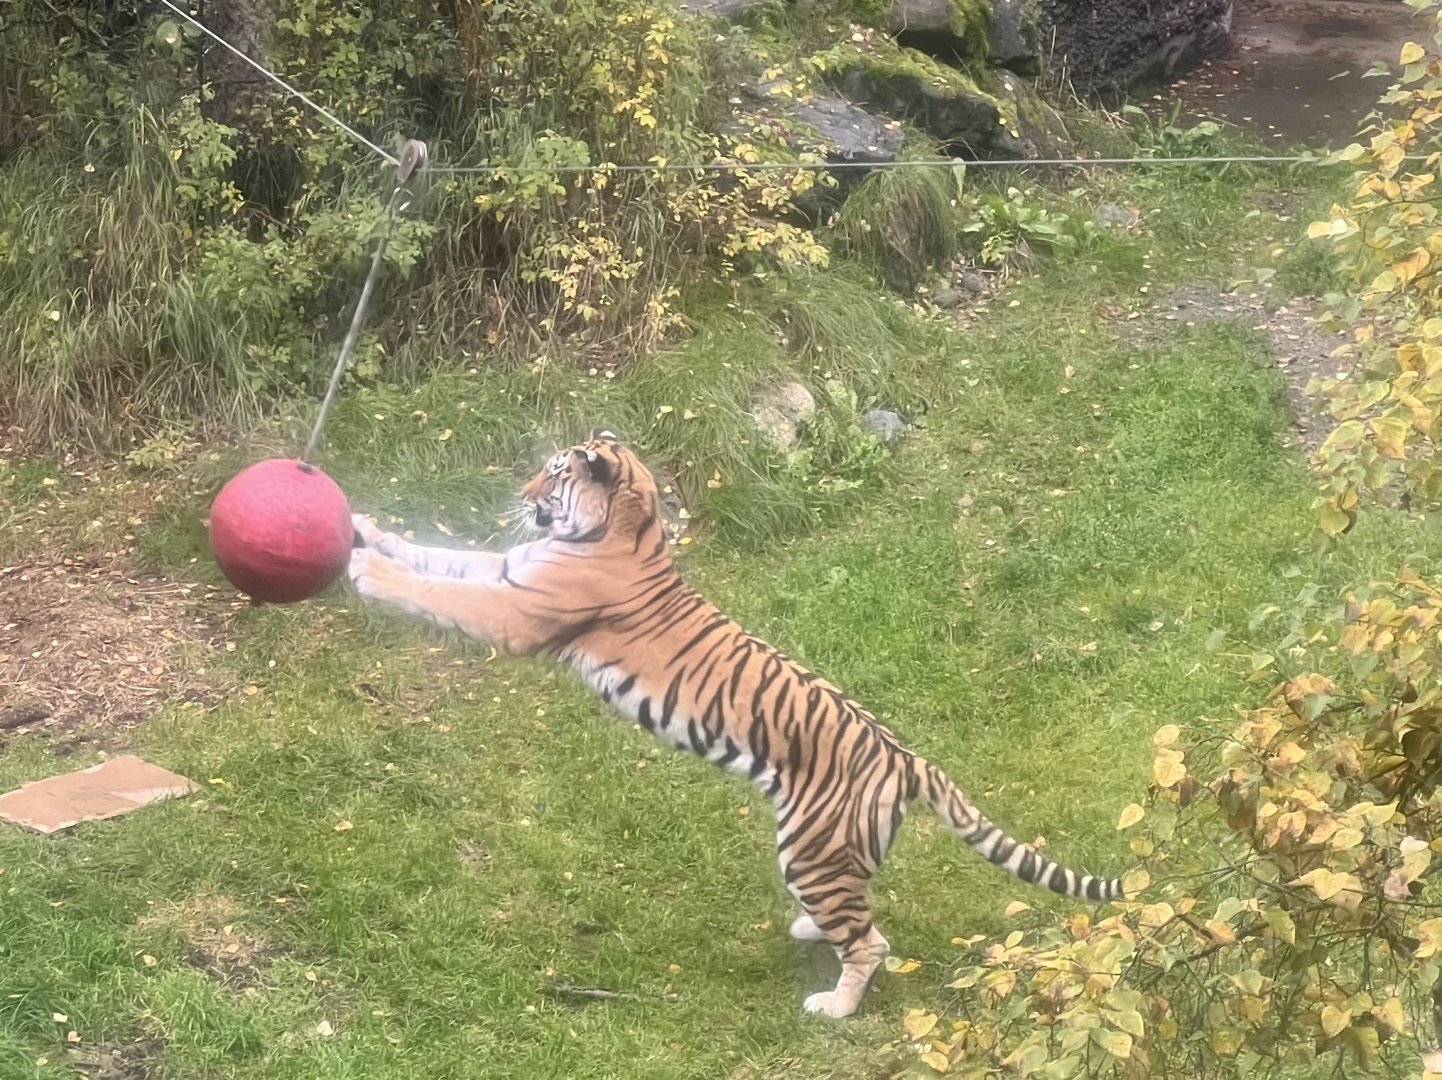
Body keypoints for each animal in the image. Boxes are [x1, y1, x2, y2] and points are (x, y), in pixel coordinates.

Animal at [347, 429, 1125, 1018]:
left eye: (556, 473)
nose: (521, 494)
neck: (624, 524)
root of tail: (904, 757)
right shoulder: (512, 571)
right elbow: (438, 556)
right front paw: (367, 529)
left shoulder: (515, 613)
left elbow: (439, 587)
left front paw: (365, 570)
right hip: (835, 853)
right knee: (859, 911)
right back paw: (810, 927)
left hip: (809, 846)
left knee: (870, 944)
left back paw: (833, 1007)